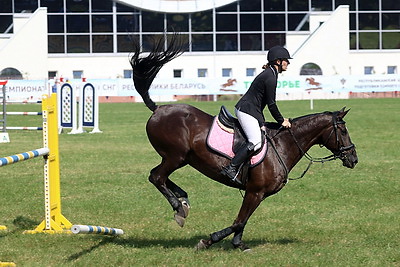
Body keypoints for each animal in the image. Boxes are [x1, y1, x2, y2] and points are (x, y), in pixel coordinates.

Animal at [130, 35, 358, 251]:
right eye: (343, 130)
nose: (354, 159)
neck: (284, 145)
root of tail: (158, 108)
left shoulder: (257, 194)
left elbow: (243, 221)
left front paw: (238, 244)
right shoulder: (255, 191)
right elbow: (238, 221)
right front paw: (208, 241)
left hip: (181, 158)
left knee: (160, 177)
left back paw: (183, 200)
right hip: (175, 156)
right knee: (156, 176)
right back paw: (179, 208)